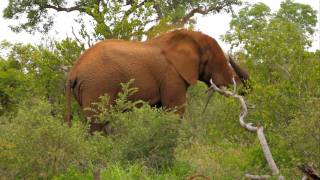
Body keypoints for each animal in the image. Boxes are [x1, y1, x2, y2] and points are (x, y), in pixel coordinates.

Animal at [65, 29, 249, 133]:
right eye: (219, 62)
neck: (191, 37)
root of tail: (73, 72)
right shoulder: (171, 75)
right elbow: (175, 111)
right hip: (97, 86)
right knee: (97, 122)